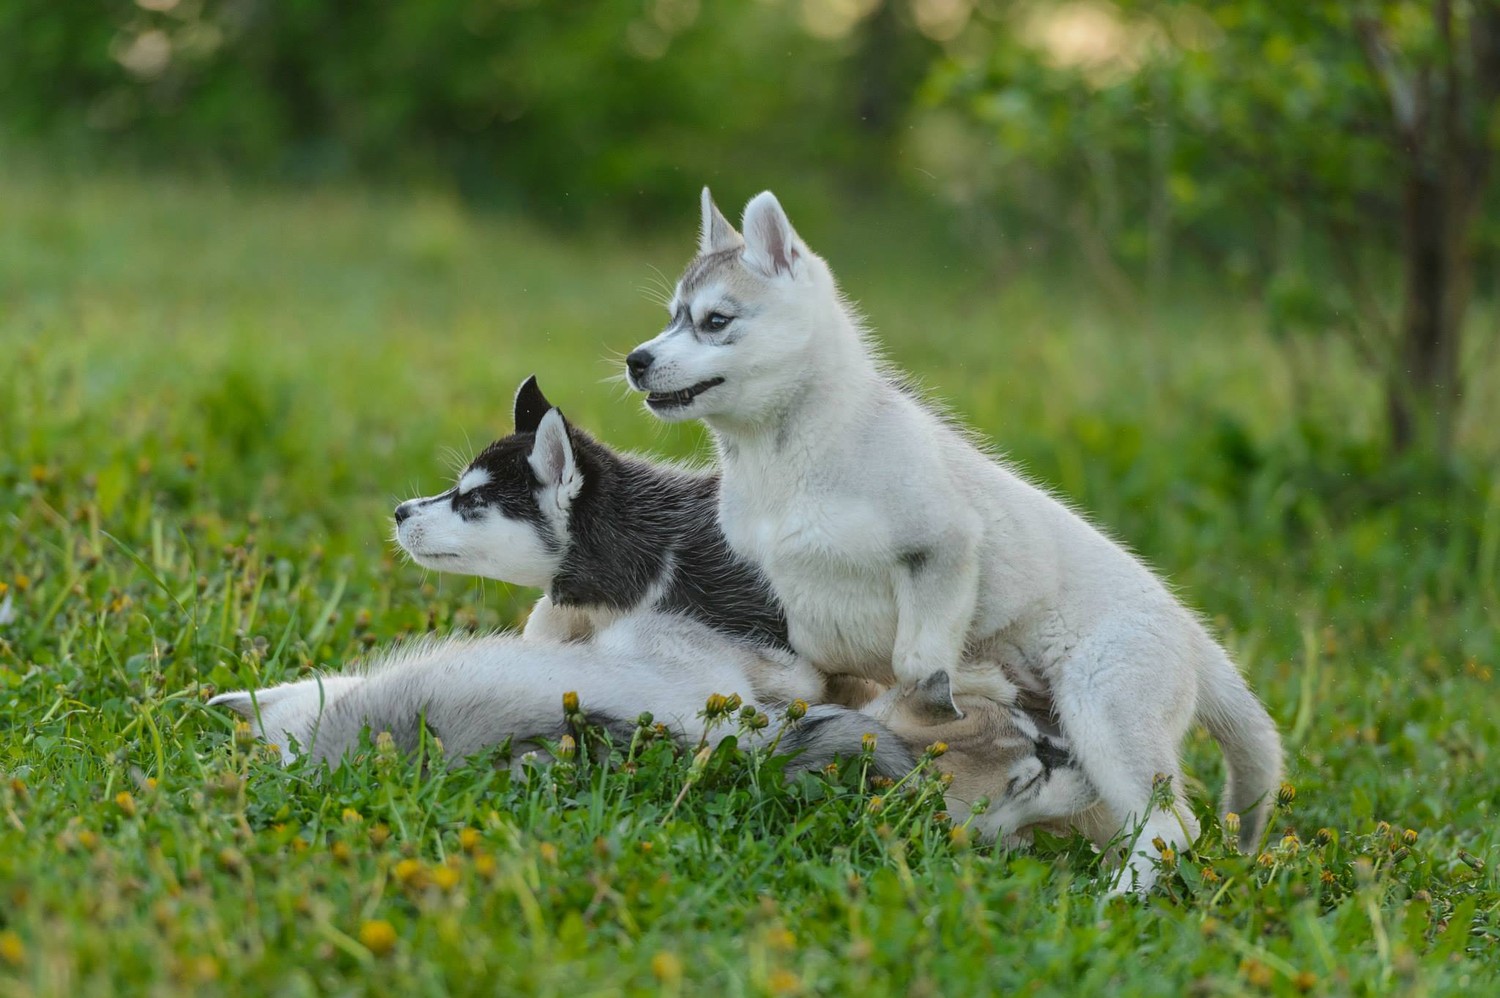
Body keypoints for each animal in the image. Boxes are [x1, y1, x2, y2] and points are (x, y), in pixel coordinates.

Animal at [621, 186, 1278, 888]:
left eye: (715, 320)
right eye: (672, 318)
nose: (635, 361)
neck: (782, 456)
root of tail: (1191, 632)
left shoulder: (943, 547)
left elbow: (916, 660)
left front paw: (949, 697)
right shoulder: (791, 590)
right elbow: (821, 656)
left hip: (1104, 714)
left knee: (1170, 829)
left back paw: (1116, 898)